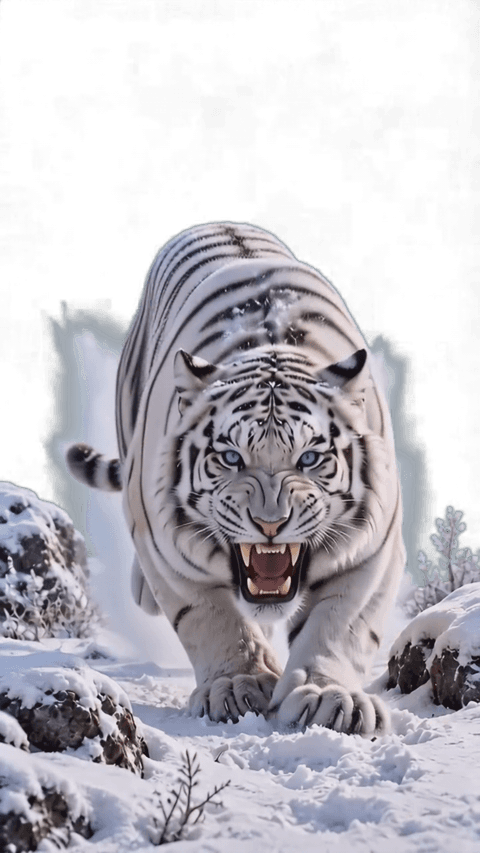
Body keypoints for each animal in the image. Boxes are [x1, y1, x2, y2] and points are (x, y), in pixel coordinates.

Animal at [67, 221, 405, 736]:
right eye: (230, 456)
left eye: (310, 458)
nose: (270, 524)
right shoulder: (166, 549)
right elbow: (212, 620)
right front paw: (237, 686)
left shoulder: (372, 551)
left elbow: (339, 625)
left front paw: (331, 699)